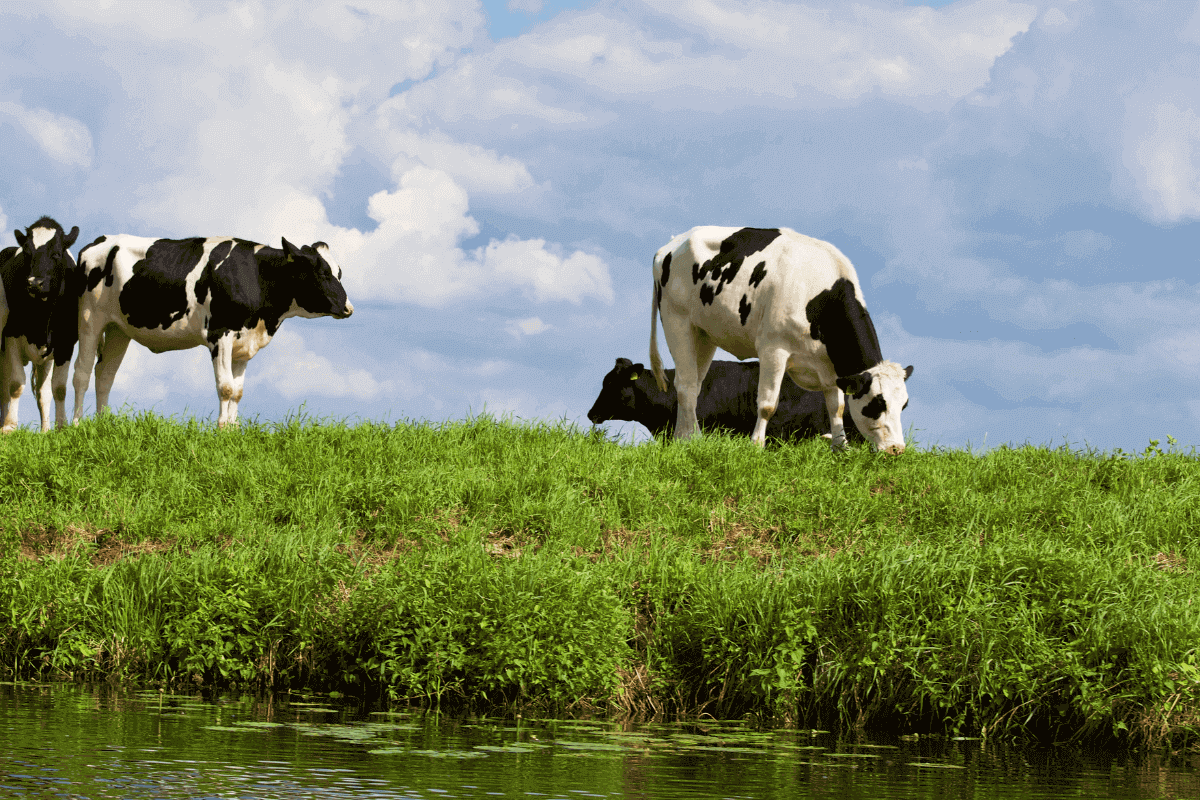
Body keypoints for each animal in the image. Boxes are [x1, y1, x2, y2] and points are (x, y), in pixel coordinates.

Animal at [0, 215, 81, 431]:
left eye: (56, 253)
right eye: (27, 252)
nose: (35, 283)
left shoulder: (65, 343)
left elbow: (58, 388)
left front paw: (59, 427)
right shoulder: (10, 336)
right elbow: (15, 384)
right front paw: (9, 427)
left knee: (42, 393)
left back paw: (45, 429)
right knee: (3, 389)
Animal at [73, 235, 352, 429]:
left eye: (339, 272)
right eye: (322, 272)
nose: (348, 308)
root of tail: (99, 242)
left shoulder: (244, 343)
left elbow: (238, 391)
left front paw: (233, 430)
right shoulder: (220, 334)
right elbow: (225, 387)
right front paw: (221, 430)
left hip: (118, 329)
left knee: (105, 374)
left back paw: (102, 425)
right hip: (89, 319)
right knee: (82, 374)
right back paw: (75, 425)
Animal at [652, 227, 912, 453]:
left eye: (904, 405)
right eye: (877, 404)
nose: (896, 449)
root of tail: (672, 244)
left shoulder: (830, 368)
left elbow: (836, 407)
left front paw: (841, 448)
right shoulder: (773, 350)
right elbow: (767, 404)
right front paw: (756, 445)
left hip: (704, 333)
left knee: (694, 385)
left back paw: (681, 438)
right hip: (677, 320)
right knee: (685, 385)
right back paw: (692, 437)